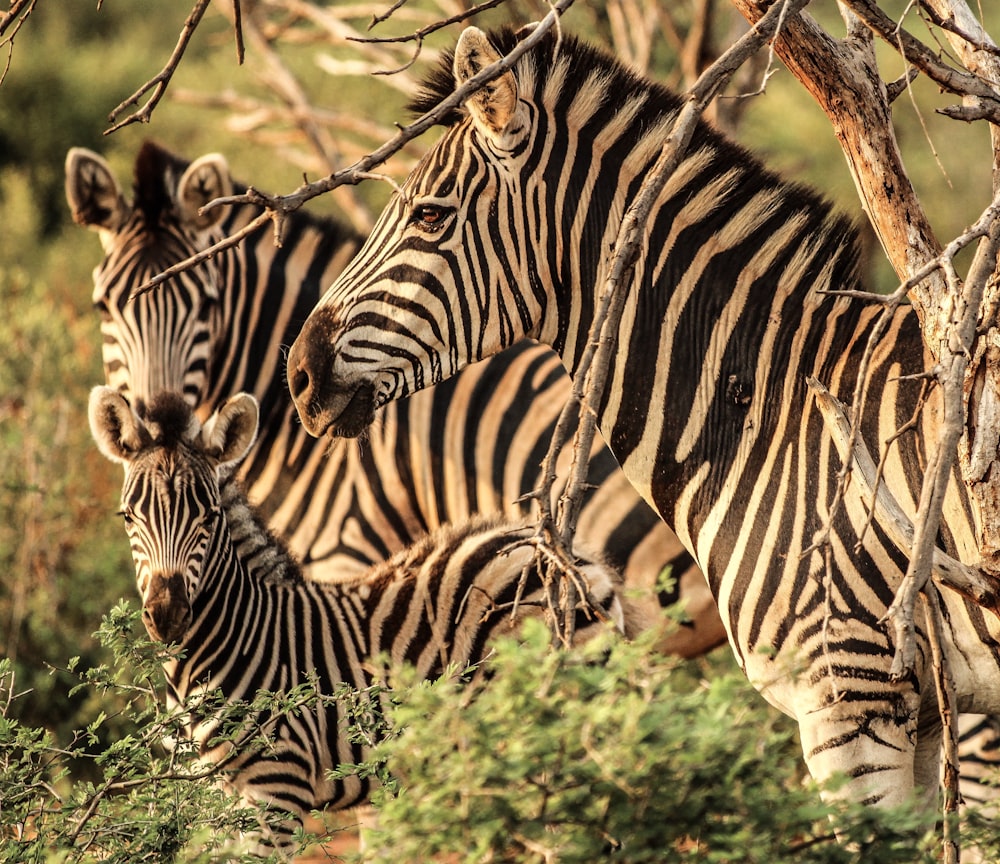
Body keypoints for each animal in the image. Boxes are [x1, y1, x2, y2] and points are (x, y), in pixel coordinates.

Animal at [90, 388, 624, 852]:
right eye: (127, 517)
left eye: (208, 517)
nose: (168, 615)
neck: (240, 636)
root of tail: (577, 557)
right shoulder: (217, 791)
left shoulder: (277, 790)